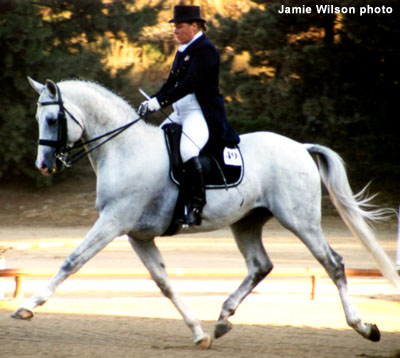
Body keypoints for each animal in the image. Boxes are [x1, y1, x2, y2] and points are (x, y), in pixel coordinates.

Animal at [10, 77, 398, 348]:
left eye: (51, 118)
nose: (43, 165)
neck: (125, 149)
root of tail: (300, 147)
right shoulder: (138, 235)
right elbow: (164, 283)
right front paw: (199, 334)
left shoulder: (112, 222)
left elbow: (71, 261)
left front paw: (28, 305)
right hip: (246, 223)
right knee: (260, 266)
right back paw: (223, 319)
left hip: (300, 221)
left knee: (333, 264)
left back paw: (364, 327)